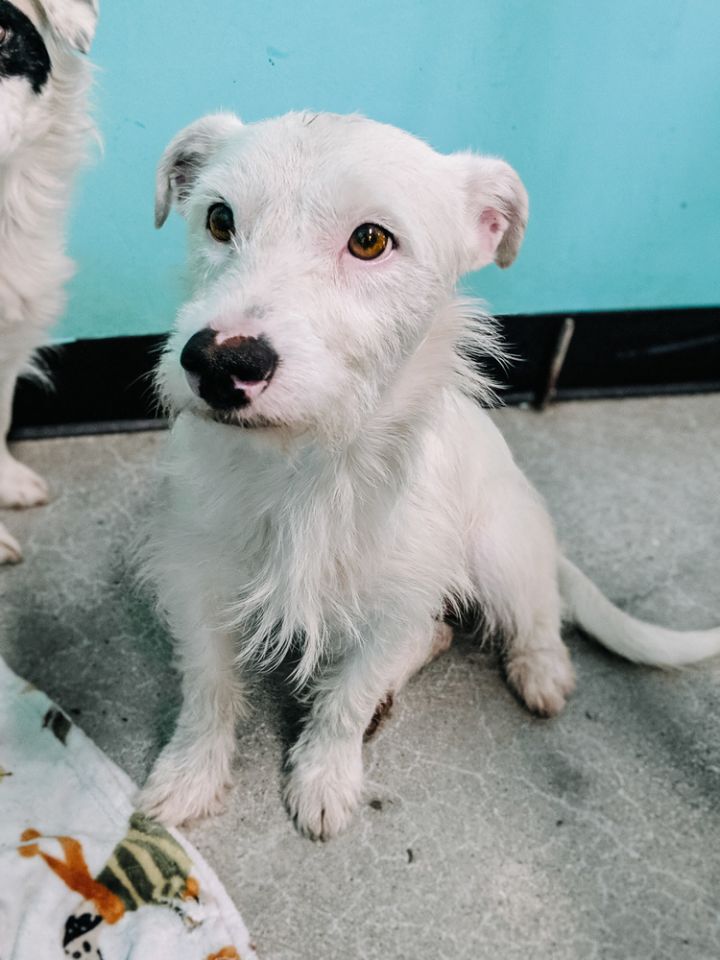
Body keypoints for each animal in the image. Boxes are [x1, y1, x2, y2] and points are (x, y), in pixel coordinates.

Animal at [141, 109, 720, 836]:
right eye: (219, 219)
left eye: (369, 240)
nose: (219, 363)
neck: (311, 466)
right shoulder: (197, 581)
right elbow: (209, 688)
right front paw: (191, 775)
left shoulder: (394, 605)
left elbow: (347, 701)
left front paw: (326, 775)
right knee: (438, 631)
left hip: (499, 550)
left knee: (536, 611)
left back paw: (541, 669)